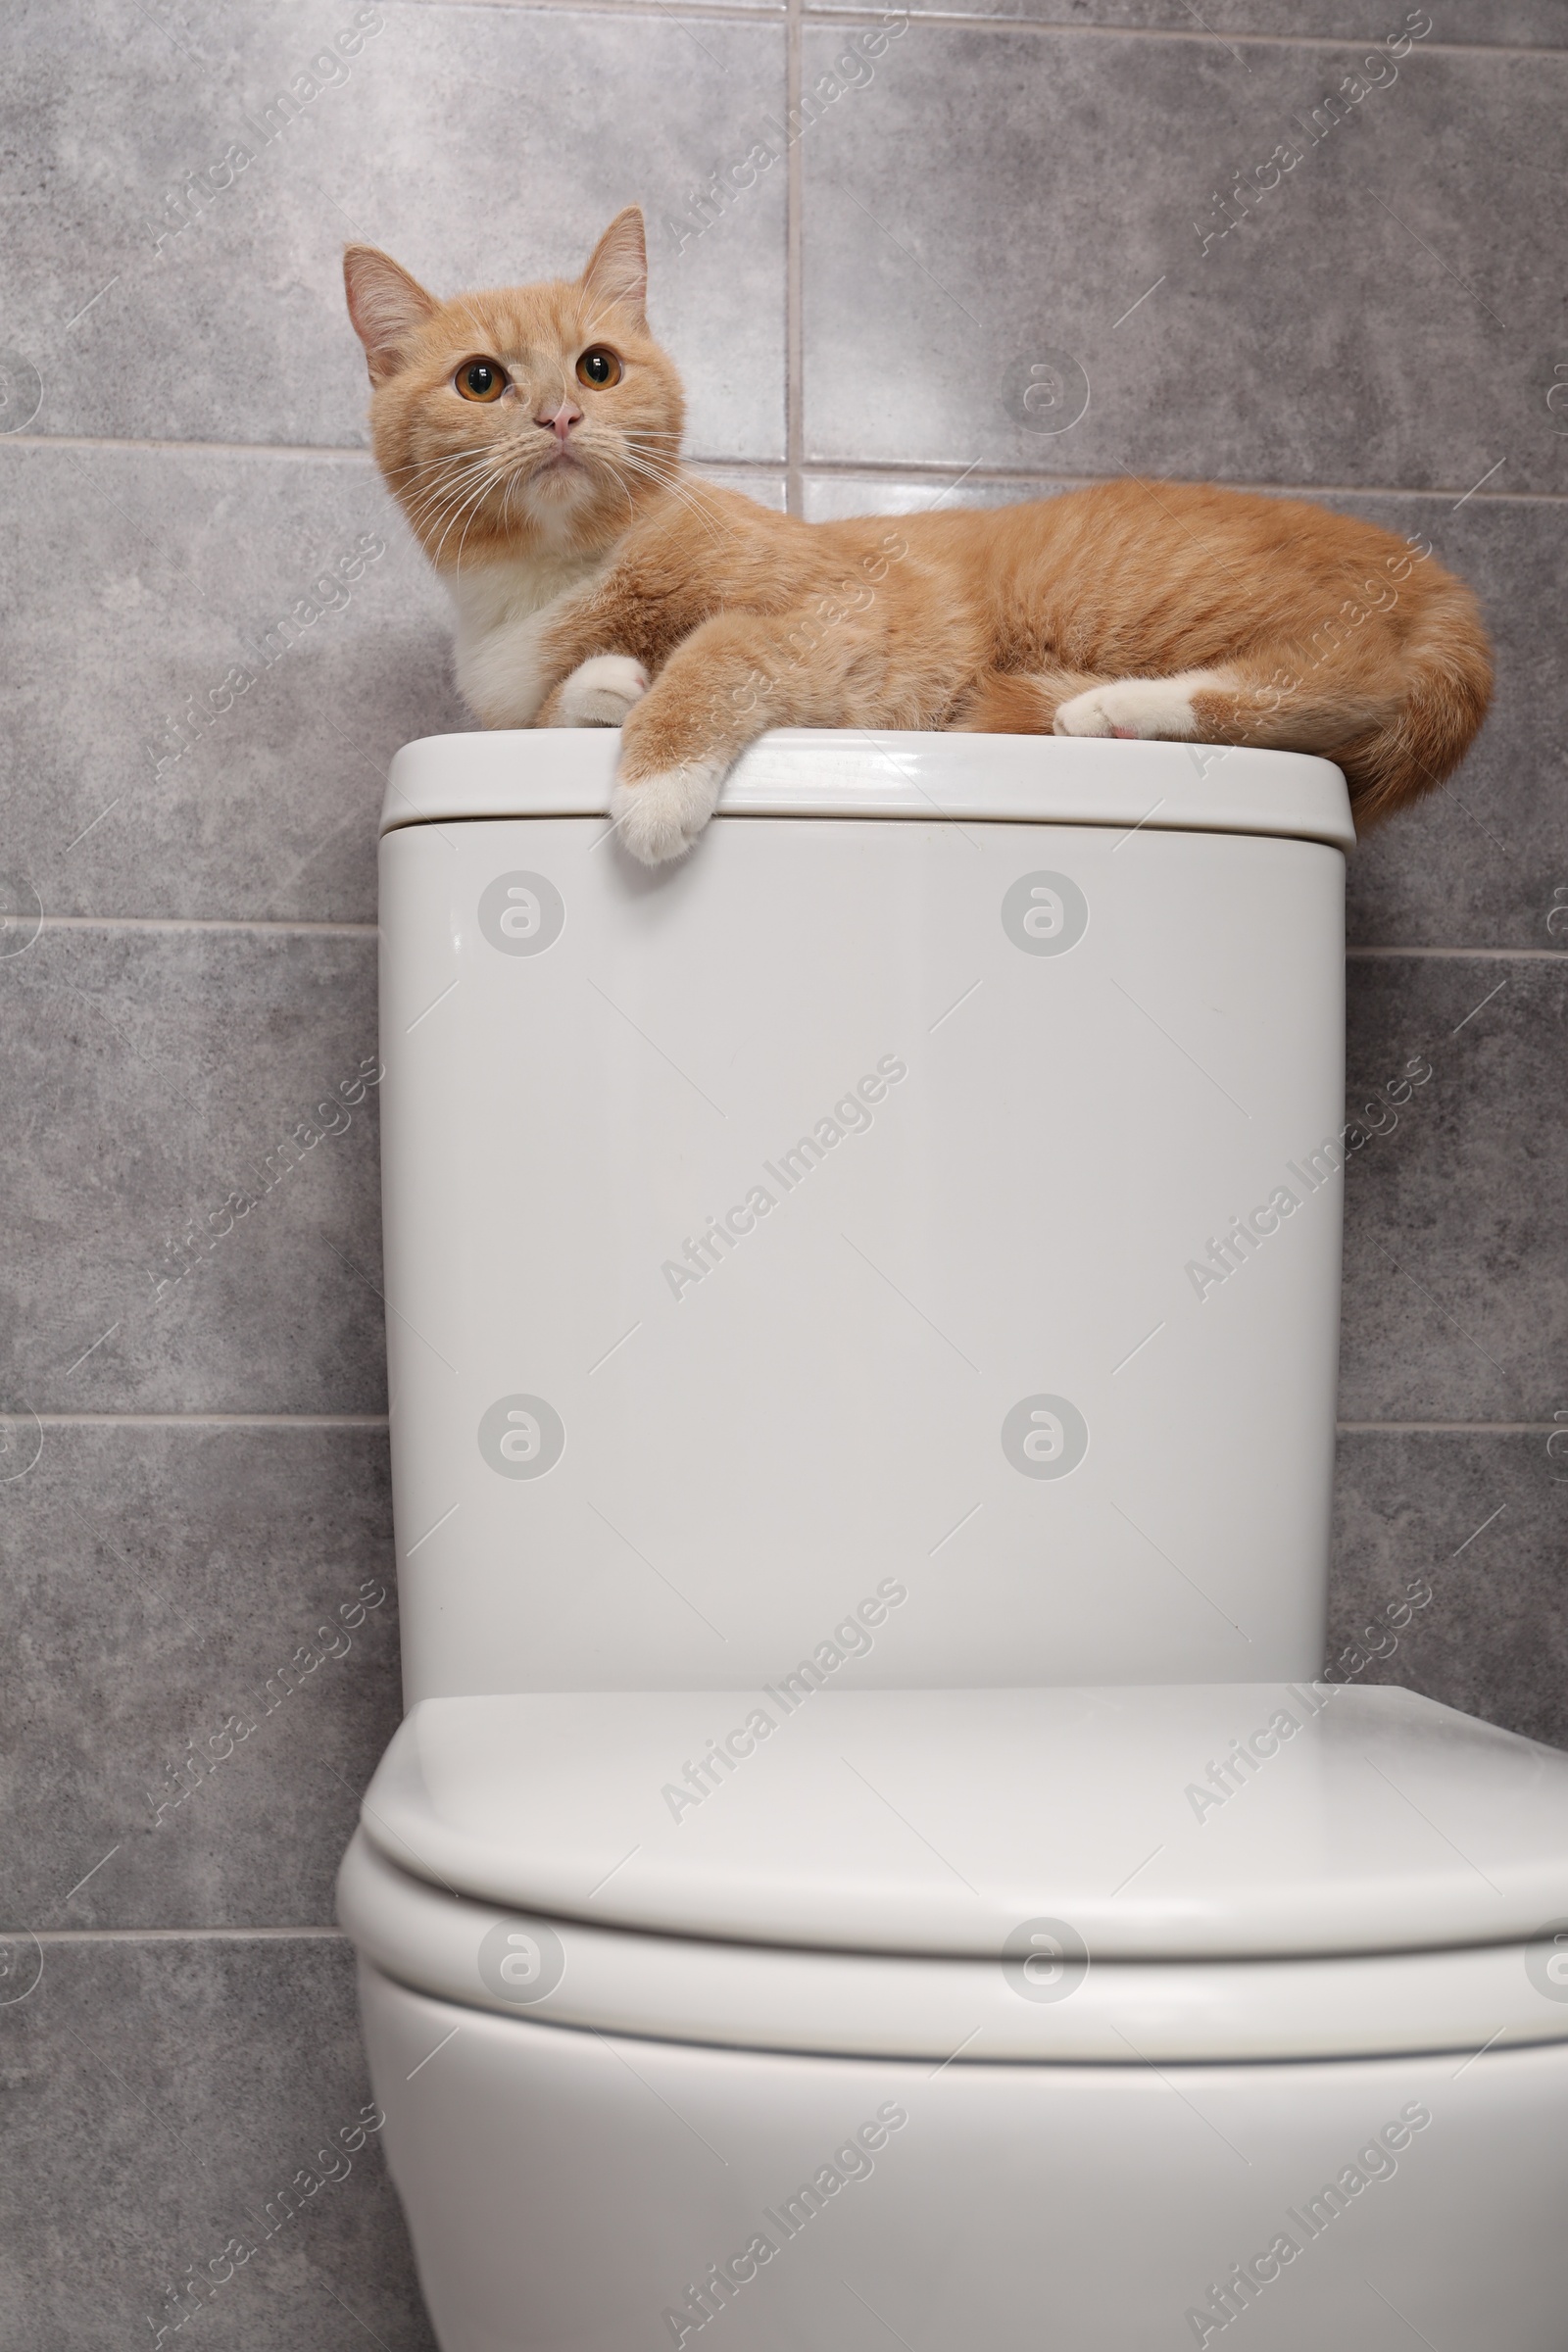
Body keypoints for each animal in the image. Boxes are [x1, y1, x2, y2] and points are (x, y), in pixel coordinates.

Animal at [345, 209, 1494, 865]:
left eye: (597, 367)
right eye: (481, 380)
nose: (559, 418)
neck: (547, 580)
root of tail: (1438, 585)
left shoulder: (841, 615)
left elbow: (720, 651)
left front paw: (653, 780)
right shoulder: (507, 698)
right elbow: (547, 706)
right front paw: (602, 689)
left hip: (1143, 597)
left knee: (1346, 677)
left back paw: (1119, 707)